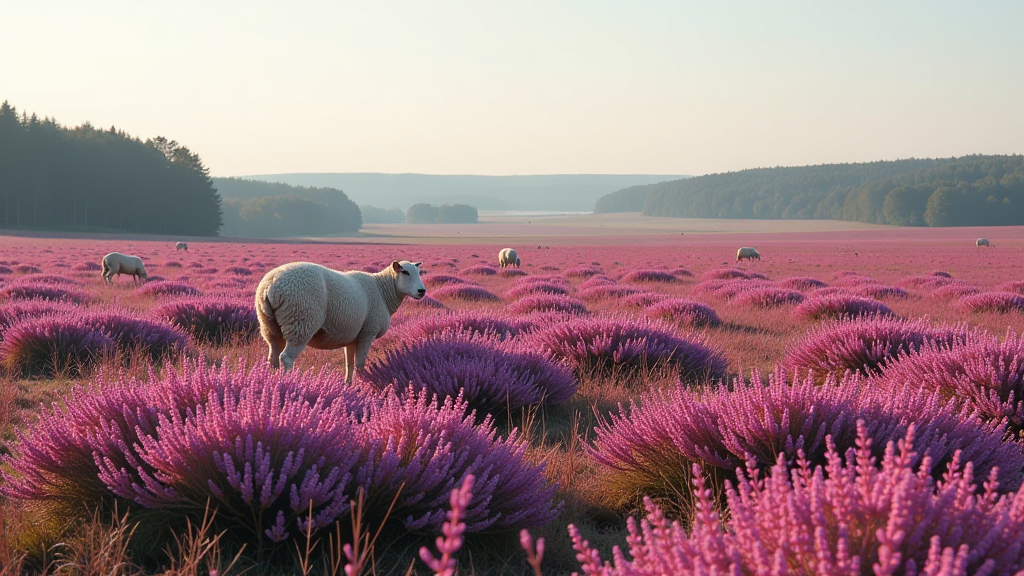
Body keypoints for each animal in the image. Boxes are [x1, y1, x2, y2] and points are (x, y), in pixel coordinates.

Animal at [258, 259, 430, 377]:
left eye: (419, 272)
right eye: (405, 272)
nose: (422, 291)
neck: (383, 290)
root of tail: (271, 285)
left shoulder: (353, 338)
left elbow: (350, 365)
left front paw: (349, 386)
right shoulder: (368, 332)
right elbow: (360, 364)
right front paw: (363, 385)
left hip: (270, 328)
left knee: (272, 357)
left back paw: (273, 381)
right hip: (301, 322)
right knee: (286, 358)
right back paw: (288, 381)